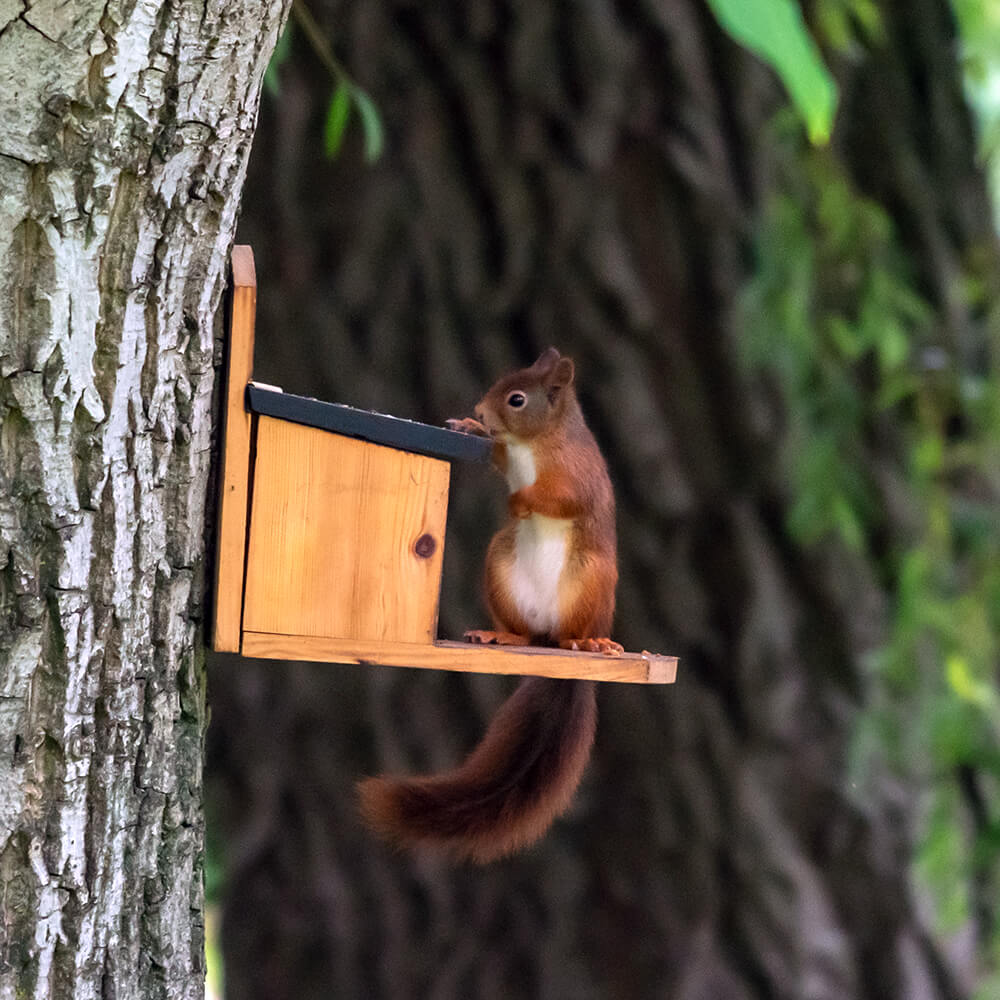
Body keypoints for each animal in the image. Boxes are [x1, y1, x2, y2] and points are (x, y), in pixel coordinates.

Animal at [360, 350, 616, 860]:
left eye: (517, 399)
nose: (480, 410)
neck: (532, 444)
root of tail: (552, 644)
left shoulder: (577, 473)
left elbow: (563, 499)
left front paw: (520, 499)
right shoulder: (507, 455)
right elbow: (496, 456)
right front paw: (468, 427)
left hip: (592, 577)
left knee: (576, 630)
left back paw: (591, 643)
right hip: (500, 565)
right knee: (524, 631)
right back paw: (501, 633)